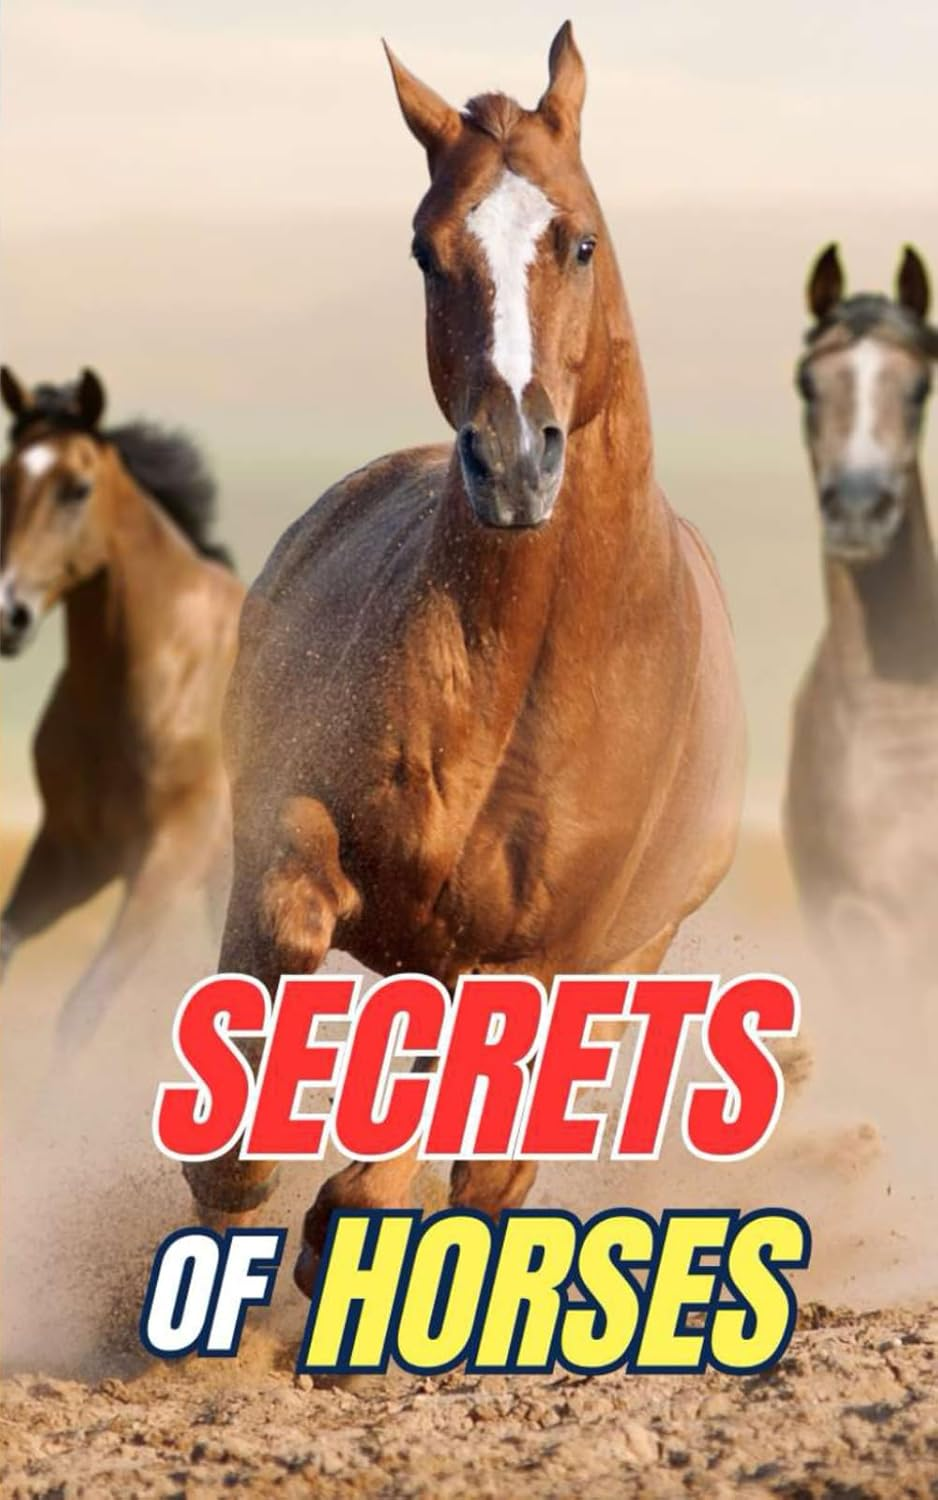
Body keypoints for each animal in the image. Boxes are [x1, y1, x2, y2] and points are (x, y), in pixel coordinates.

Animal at [0, 367, 245, 1046]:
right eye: (5, 479)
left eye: (76, 489)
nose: (9, 613)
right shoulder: (73, 852)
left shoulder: (165, 862)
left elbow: (82, 1009)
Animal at [183, 23, 746, 1294]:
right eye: (425, 251)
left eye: (578, 239)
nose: (512, 460)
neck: (522, 675)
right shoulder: (296, 828)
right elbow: (285, 931)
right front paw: (254, 1196)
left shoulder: (542, 955)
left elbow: (456, 1131)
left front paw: (343, 1221)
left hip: (617, 958)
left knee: (490, 1159)